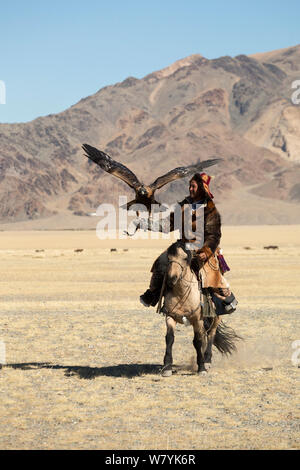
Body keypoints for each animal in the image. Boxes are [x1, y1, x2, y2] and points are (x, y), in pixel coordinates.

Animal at [158, 241, 240, 376]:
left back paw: (207, 361)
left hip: (216, 318)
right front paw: (167, 367)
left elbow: (197, 341)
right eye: (168, 258)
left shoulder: (197, 320)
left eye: (185, 258)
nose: (171, 278)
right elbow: (169, 339)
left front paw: (201, 367)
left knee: (210, 335)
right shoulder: (170, 317)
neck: (181, 294)